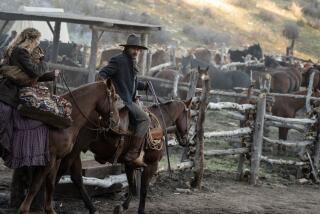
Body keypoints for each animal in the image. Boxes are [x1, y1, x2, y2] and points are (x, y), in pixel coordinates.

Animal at [11, 80, 119, 214]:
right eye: (115, 98)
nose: (116, 121)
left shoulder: (58, 158)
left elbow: (51, 184)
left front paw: (49, 208)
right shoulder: (51, 158)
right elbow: (36, 185)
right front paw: (24, 209)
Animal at [55, 99, 191, 213]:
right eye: (189, 115)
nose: (185, 140)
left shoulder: (130, 164)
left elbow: (132, 185)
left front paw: (123, 206)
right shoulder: (152, 164)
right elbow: (143, 189)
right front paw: (140, 210)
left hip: (75, 153)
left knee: (76, 178)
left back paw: (92, 209)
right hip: (71, 152)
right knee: (58, 174)